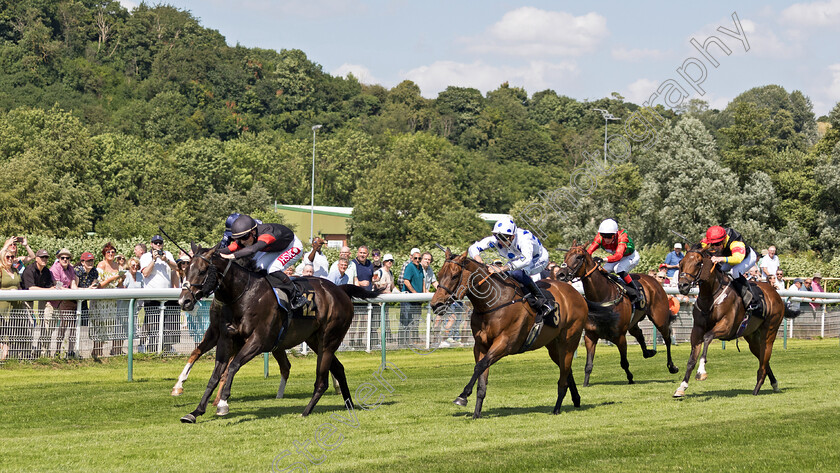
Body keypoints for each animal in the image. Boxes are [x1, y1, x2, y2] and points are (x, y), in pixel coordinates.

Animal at [180, 245, 384, 422]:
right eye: (185, 269)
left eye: (202, 270)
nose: (184, 301)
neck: (243, 295)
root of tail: (340, 290)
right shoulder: (225, 339)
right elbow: (215, 375)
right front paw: (195, 412)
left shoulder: (258, 341)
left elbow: (233, 366)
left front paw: (223, 403)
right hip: (315, 341)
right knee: (339, 369)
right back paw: (349, 404)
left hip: (329, 339)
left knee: (322, 381)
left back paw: (306, 411)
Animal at [430, 249, 588, 414]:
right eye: (439, 274)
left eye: (455, 275)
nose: (436, 304)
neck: (492, 303)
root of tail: (577, 294)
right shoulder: (480, 346)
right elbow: (481, 377)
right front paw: (476, 413)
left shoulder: (505, 344)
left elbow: (480, 366)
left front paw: (463, 396)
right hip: (553, 346)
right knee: (566, 369)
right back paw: (576, 399)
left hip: (568, 341)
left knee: (564, 375)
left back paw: (557, 408)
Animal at [556, 243, 684, 388]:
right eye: (565, 256)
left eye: (578, 257)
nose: (560, 274)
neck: (603, 298)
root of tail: (654, 280)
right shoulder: (590, 336)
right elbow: (588, 365)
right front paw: (585, 384)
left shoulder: (620, 337)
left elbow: (624, 362)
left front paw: (631, 378)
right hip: (633, 323)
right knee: (639, 333)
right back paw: (649, 352)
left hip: (659, 318)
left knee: (667, 338)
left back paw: (672, 366)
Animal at [668, 245, 800, 396]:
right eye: (681, 263)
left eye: (698, 263)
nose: (682, 286)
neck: (710, 297)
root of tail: (775, 294)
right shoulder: (697, 329)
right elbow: (691, 359)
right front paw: (682, 387)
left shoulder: (726, 326)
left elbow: (707, 337)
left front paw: (701, 372)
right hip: (751, 336)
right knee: (763, 358)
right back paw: (774, 383)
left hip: (769, 331)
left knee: (765, 356)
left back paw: (757, 387)